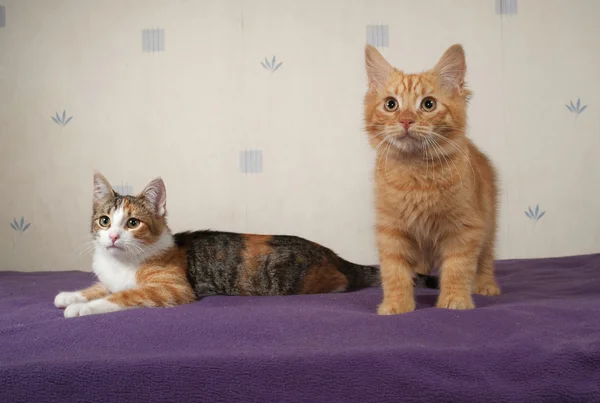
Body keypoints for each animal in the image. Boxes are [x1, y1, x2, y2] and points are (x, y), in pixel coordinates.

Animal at [54, 172, 436, 318]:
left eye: (132, 223)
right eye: (105, 221)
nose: (113, 237)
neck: (122, 261)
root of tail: (336, 256)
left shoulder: (172, 288)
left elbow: (123, 296)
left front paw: (84, 308)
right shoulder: (110, 277)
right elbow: (101, 286)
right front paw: (70, 296)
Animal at [364, 44, 500, 316]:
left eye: (428, 104)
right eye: (391, 104)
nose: (406, 120)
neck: (416, 173)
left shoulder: (465, 228)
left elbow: (458, 268)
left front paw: (455, 299)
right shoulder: (391, 229)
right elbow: (394, 272)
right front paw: (397, 304)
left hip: (489, 223)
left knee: (485, 258)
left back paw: (485, 284)